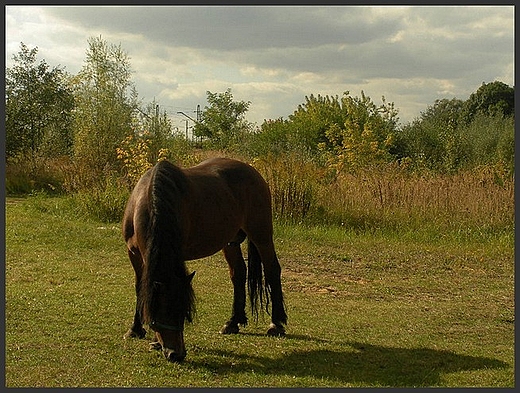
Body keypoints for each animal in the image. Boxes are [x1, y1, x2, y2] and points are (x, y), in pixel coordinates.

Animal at [122, 156, 288, 362]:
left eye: (184, 312)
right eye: (161, 313)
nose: (177, 354)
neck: (149, 202)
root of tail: (254, 172)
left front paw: (153, 341)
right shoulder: (134, 255)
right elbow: (140, 288)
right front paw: (135, 330)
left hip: (261, 235)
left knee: (272, 270)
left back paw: (276, 324)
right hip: (230, 242)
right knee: (239, 273)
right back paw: (233, 322)